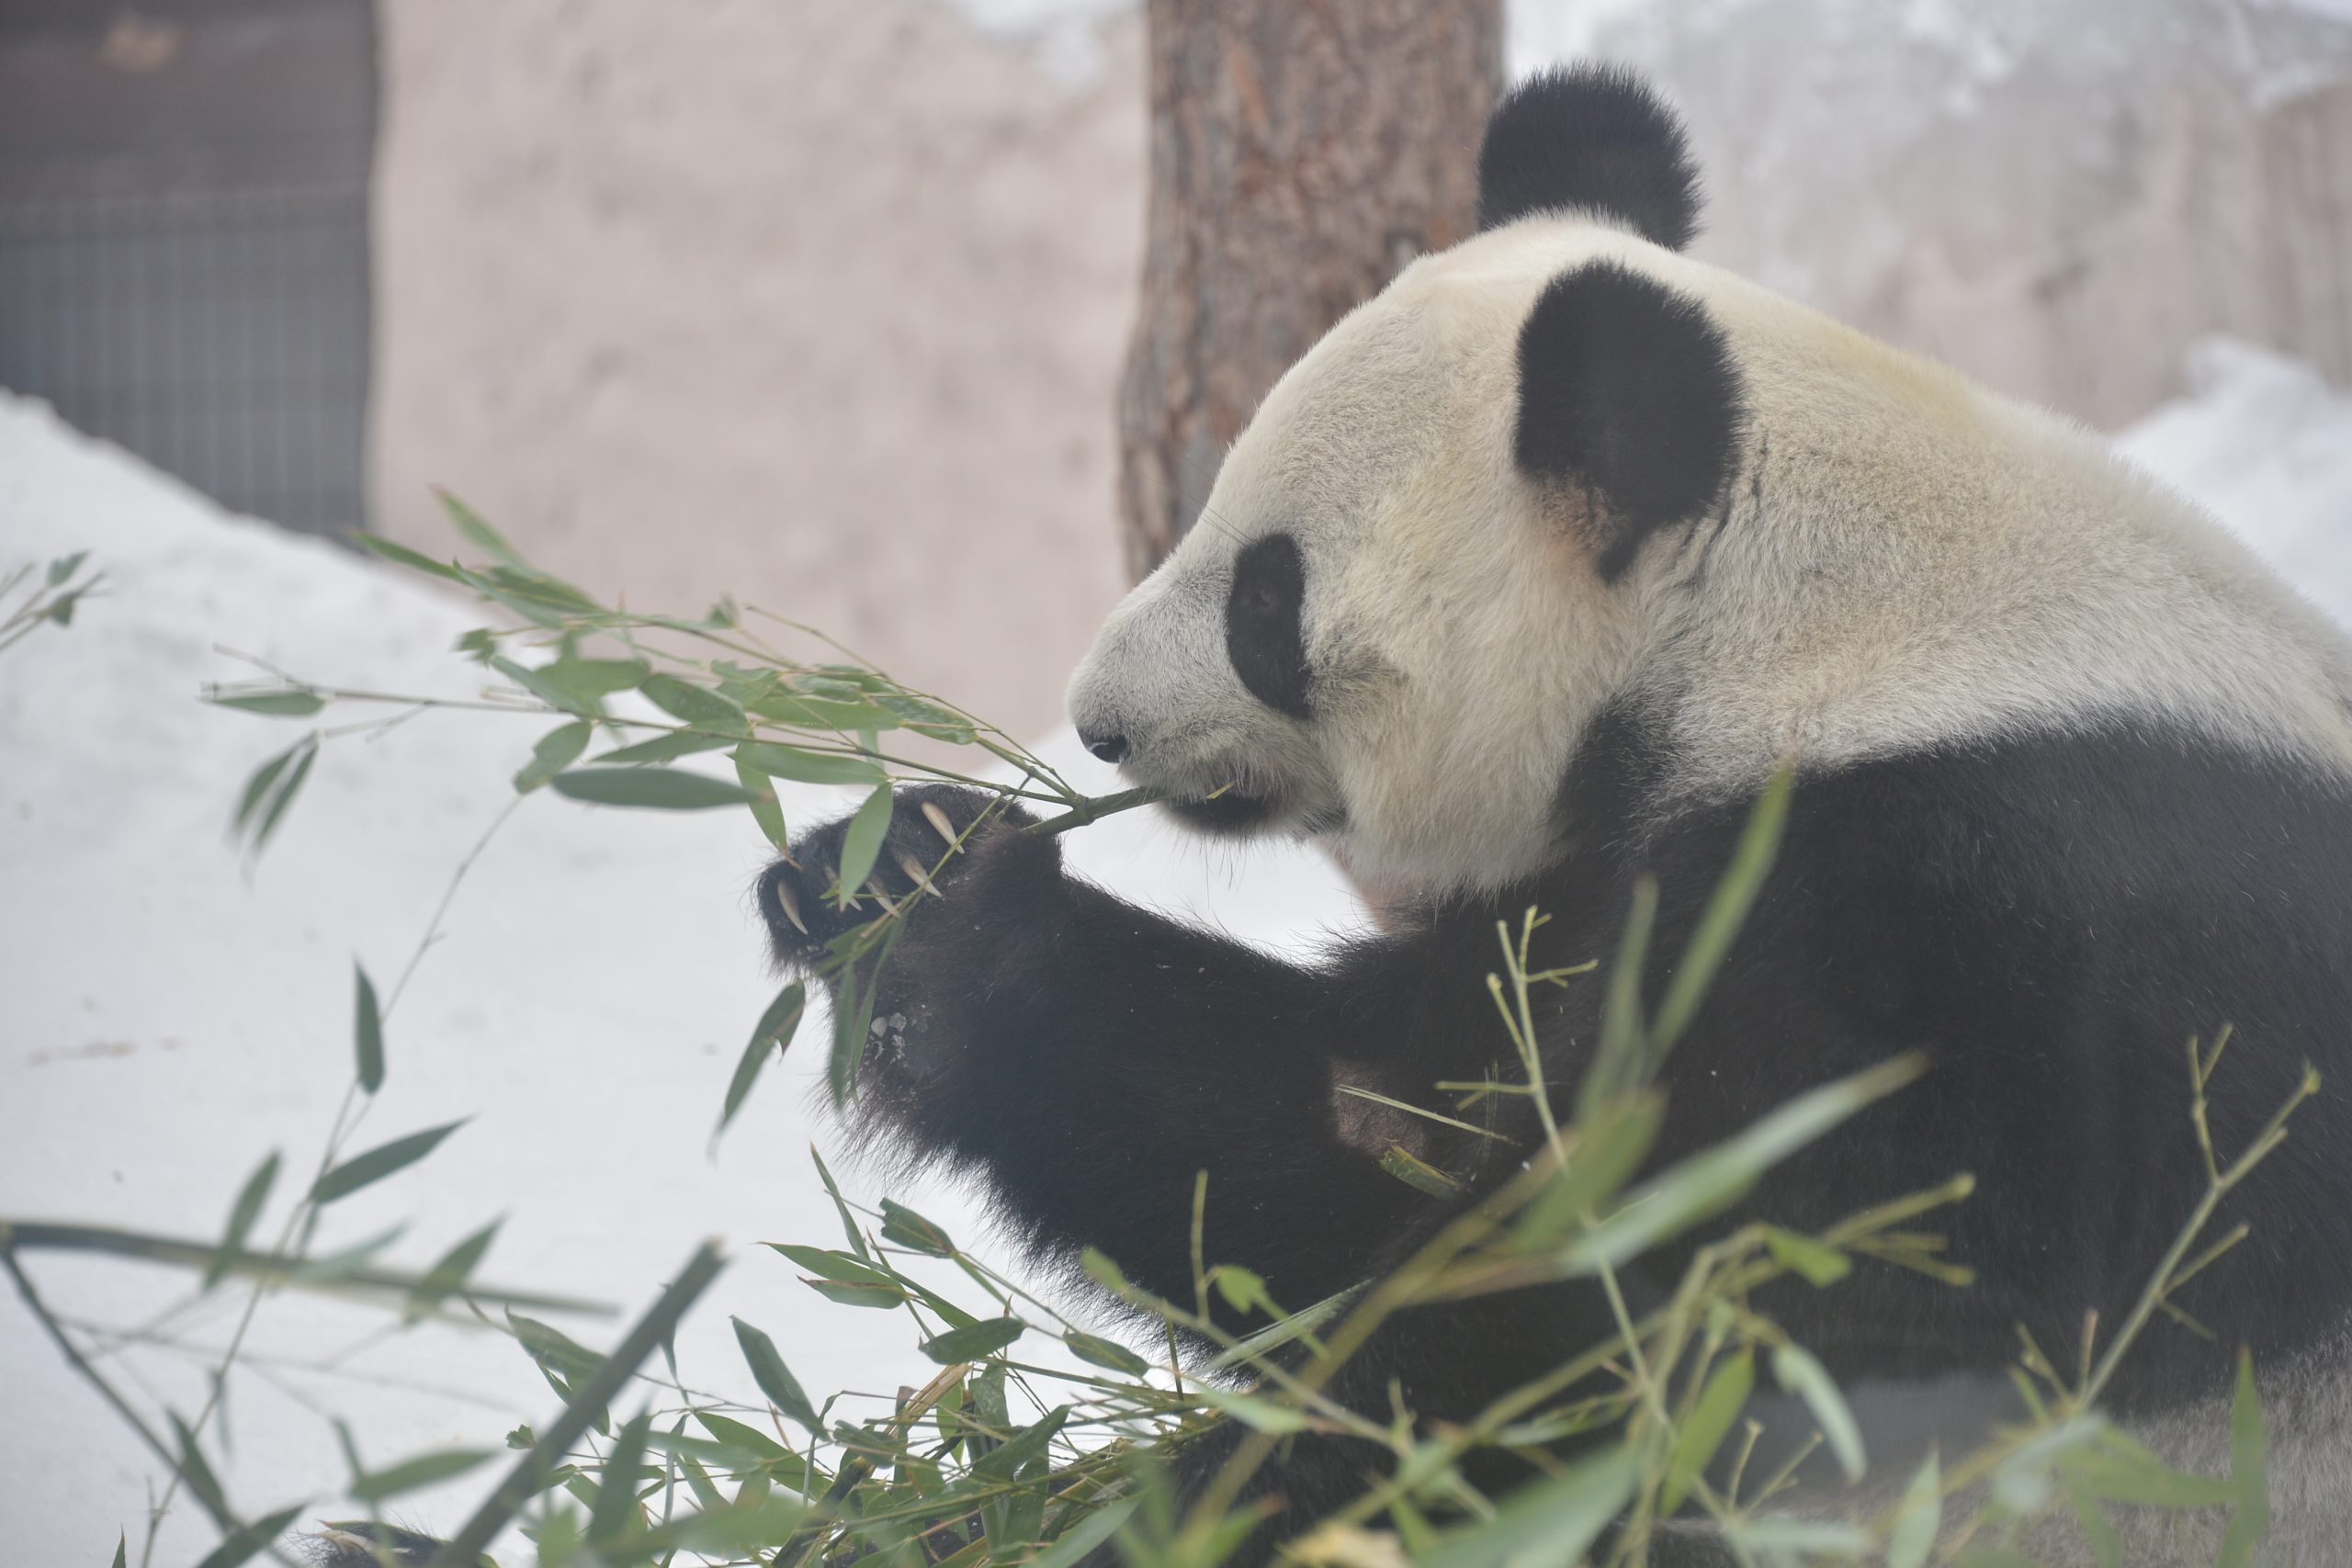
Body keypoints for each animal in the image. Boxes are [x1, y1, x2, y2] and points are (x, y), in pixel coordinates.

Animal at [762, 64, 2352, 1568]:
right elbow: (1340, 1141)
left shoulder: (1984, 945)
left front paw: (1099, 1516)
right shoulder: (1591, 899)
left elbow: (1598, 1331)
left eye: (1268, 600)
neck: (1807, 620)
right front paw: (907, 899)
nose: (1099, 721)